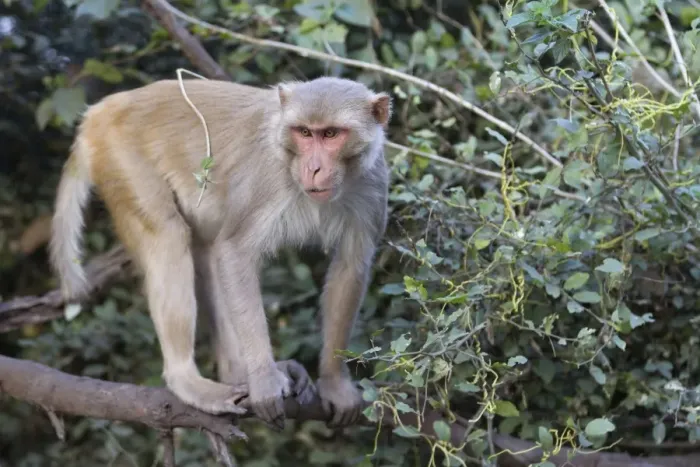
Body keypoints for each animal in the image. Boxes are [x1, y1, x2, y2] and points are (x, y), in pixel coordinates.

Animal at [49, 75, 392, 430]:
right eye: (305, 133)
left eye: (332, 134)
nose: (313, 168)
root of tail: (99, 112)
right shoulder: (267, 179)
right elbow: (235, 252)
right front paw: (264, 380)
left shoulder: (373, 182)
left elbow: (350, 267)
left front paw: (334, 382)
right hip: (123, 160)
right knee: (170, 236)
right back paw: (188, 379)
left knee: (206, 250)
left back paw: (235, 373)